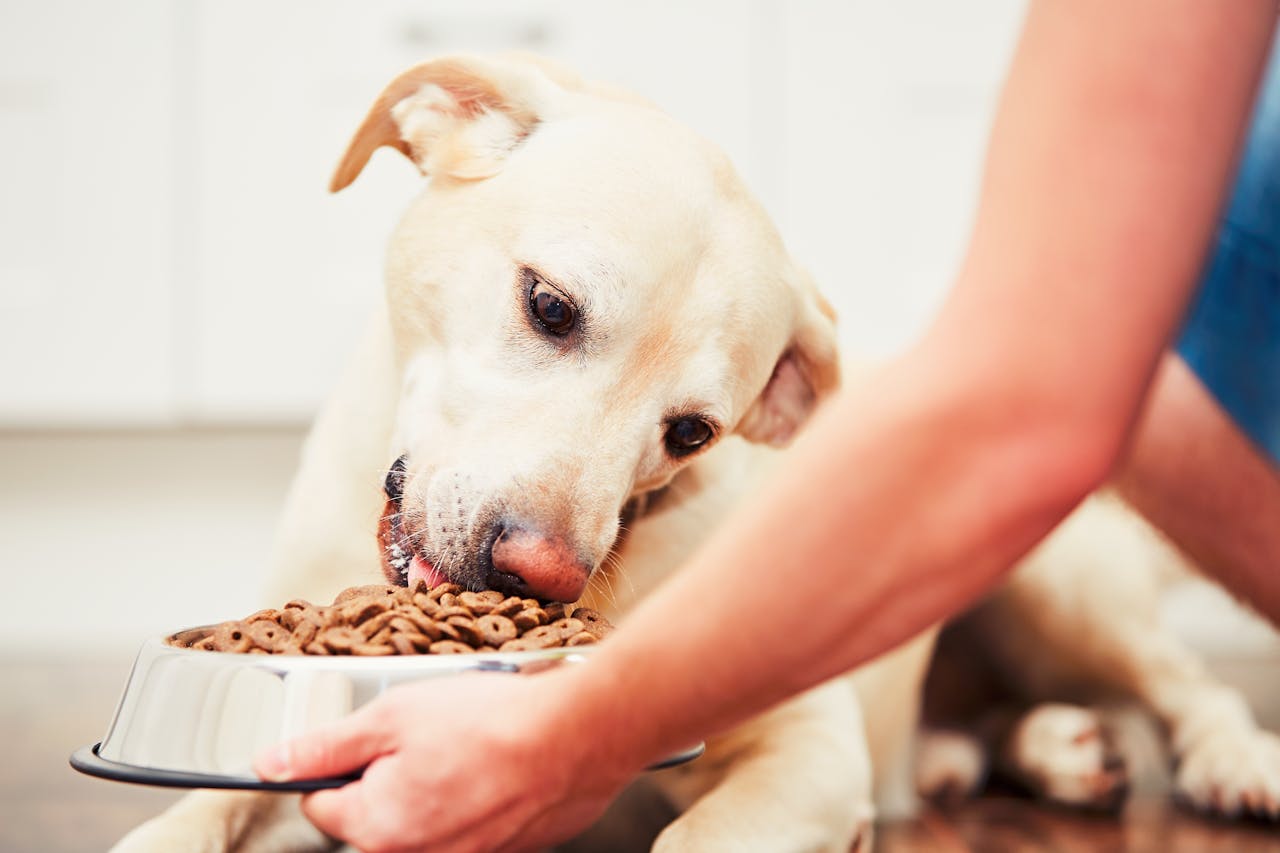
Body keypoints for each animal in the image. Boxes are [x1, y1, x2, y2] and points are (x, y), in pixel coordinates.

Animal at [117, 54, 1280, 850]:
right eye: (549, 305)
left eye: (692, 432)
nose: (538, 574)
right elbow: (187, 817)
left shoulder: (806, 746)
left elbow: (699, 834)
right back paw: (1029, 750)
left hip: (1053, 578)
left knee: (1184, 684)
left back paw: (1228, 761)